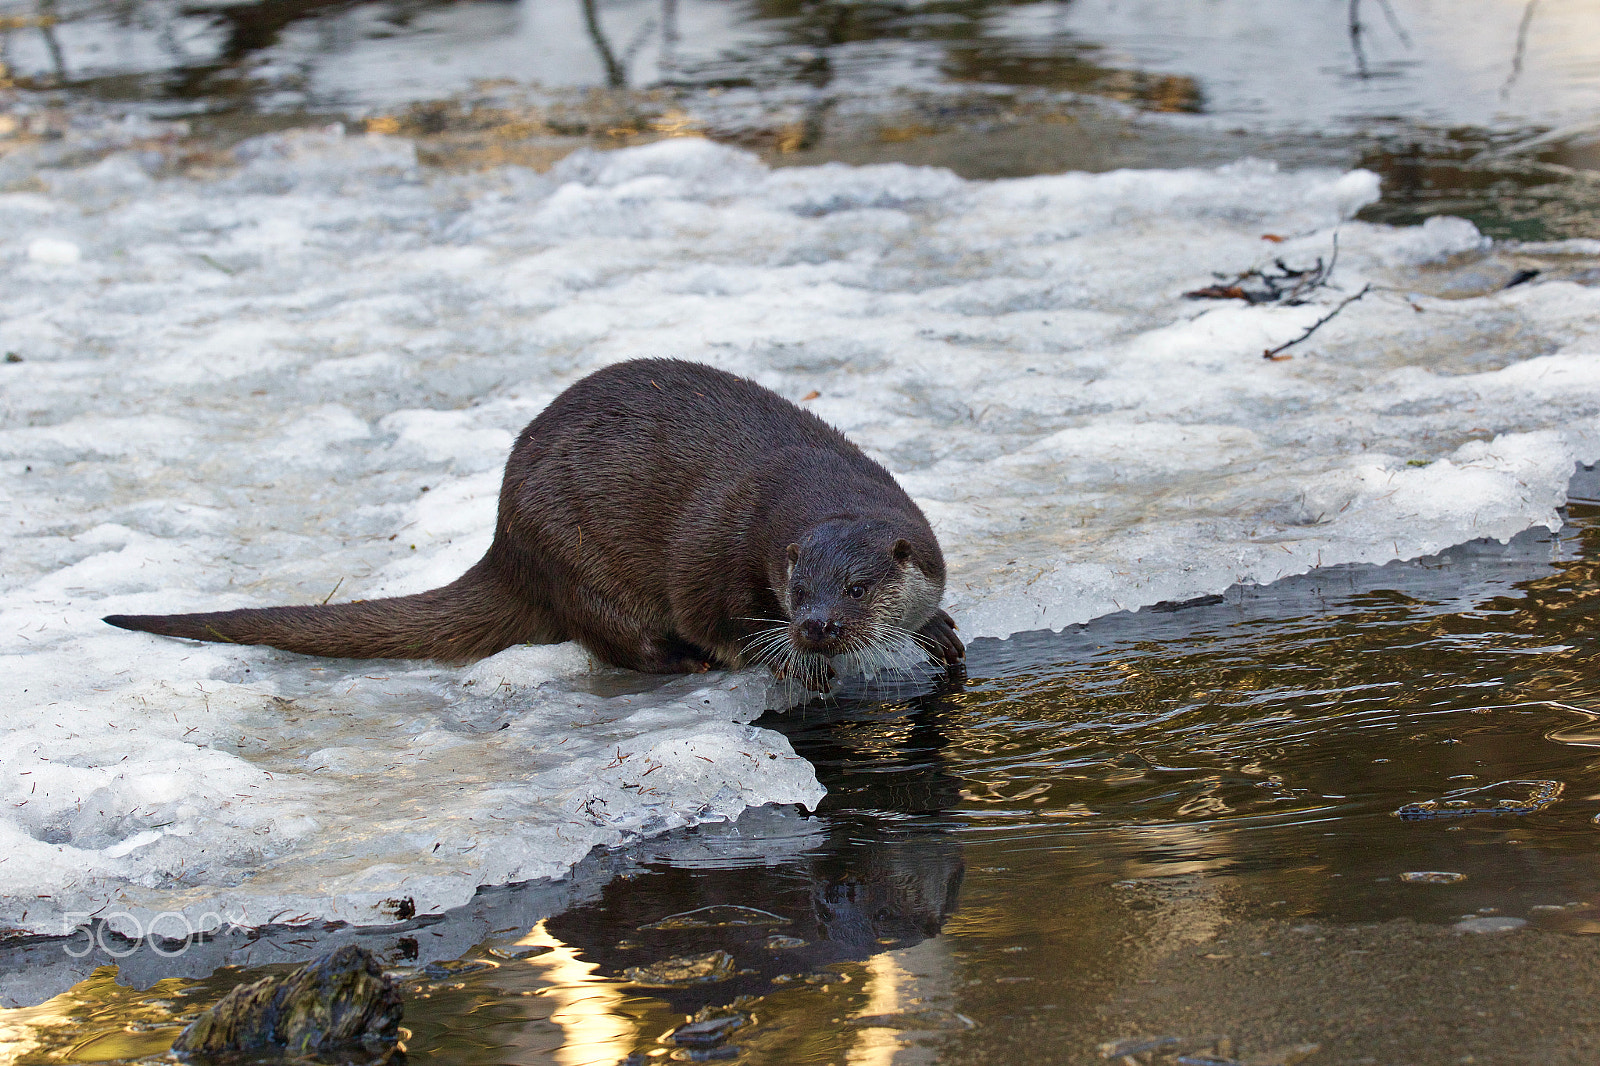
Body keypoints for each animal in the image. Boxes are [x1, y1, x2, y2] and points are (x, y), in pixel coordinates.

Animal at [112, 355, 966, 681]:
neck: (800, 474)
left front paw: (938, 629)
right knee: (613, 638)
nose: (816, 627)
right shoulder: (713, 545)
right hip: (570, 551)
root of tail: (503, 537)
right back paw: (675, 660)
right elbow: (709, 613)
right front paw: (774, 659)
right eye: (798, 590)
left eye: (857, 588)